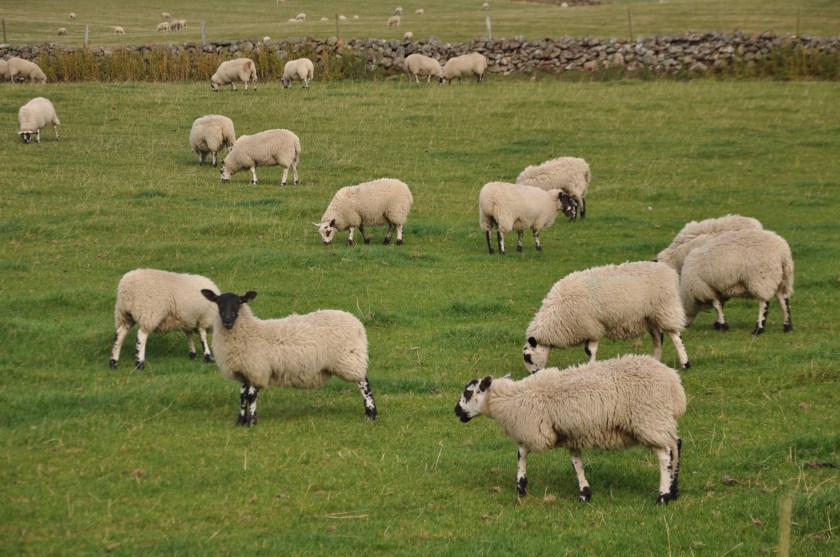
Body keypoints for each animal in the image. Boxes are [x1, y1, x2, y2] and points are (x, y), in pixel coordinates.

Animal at [200, 290, 377, 425]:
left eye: (239, 302)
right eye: (218, 302)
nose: (227, 320)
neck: (249, 332)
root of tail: (356, 321)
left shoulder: (259, 369)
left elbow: (251, 396)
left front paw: (251, 422)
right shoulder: (246, 370)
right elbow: (243, 396)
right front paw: (240, 421)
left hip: (349, 359)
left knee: (364, 383)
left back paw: (371, 413)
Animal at [454, 354, 686, 504]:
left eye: (468, 392)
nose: (456, 411)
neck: (511, 398)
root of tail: (673, 382)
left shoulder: (535, 430)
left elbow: (521, 453)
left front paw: (521, 487)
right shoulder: (571, 435)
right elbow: (576, 463)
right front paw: (584, 493)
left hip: (649, 419)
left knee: (665, 454)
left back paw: (663, 496)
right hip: (660, 420)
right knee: (676, 445)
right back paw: (674, 490)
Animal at [523, 261, 691, 371]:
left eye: (528, 357)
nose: (533, 374)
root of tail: (669, 271)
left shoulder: (591, 327)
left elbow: (590, 351)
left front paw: (590, 366)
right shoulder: (589, 327)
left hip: (666, 309)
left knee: (676, 337)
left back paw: (685, 363)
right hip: (649, 316)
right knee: (658, 338)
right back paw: (655, 360)